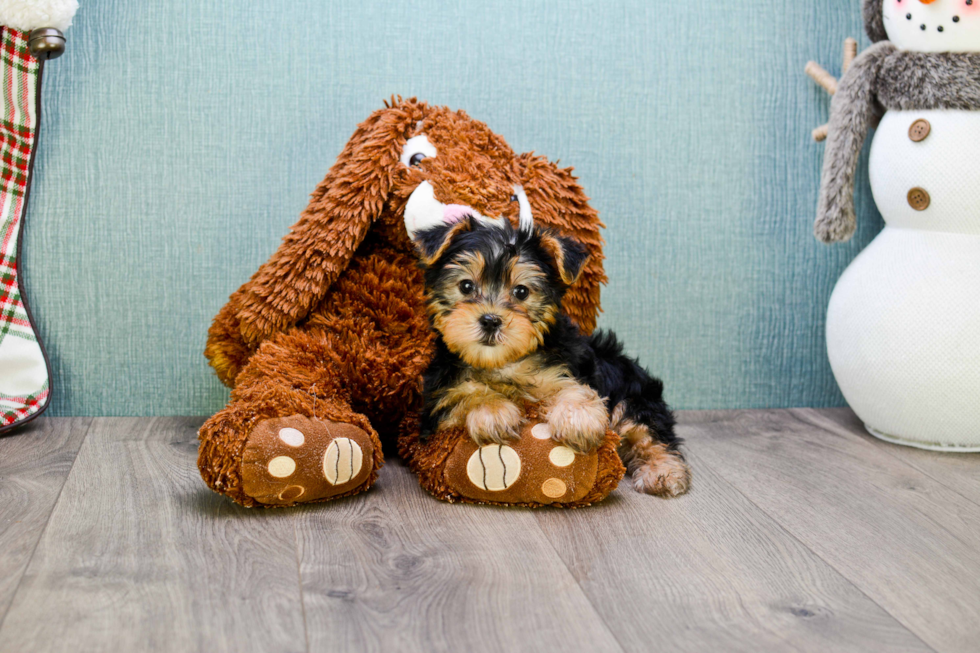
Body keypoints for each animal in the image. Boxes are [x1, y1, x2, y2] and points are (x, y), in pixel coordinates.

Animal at [414, 216, 688, 496]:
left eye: (521, 292)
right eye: (466, 286)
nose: (490, 320)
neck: (502, 361)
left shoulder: (564, 368)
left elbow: (574, 388)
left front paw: (579, 419)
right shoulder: (437, 400)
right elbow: (463, 394)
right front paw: (493, 411)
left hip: (635, 397)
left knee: (647, 433)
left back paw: (662, 473)